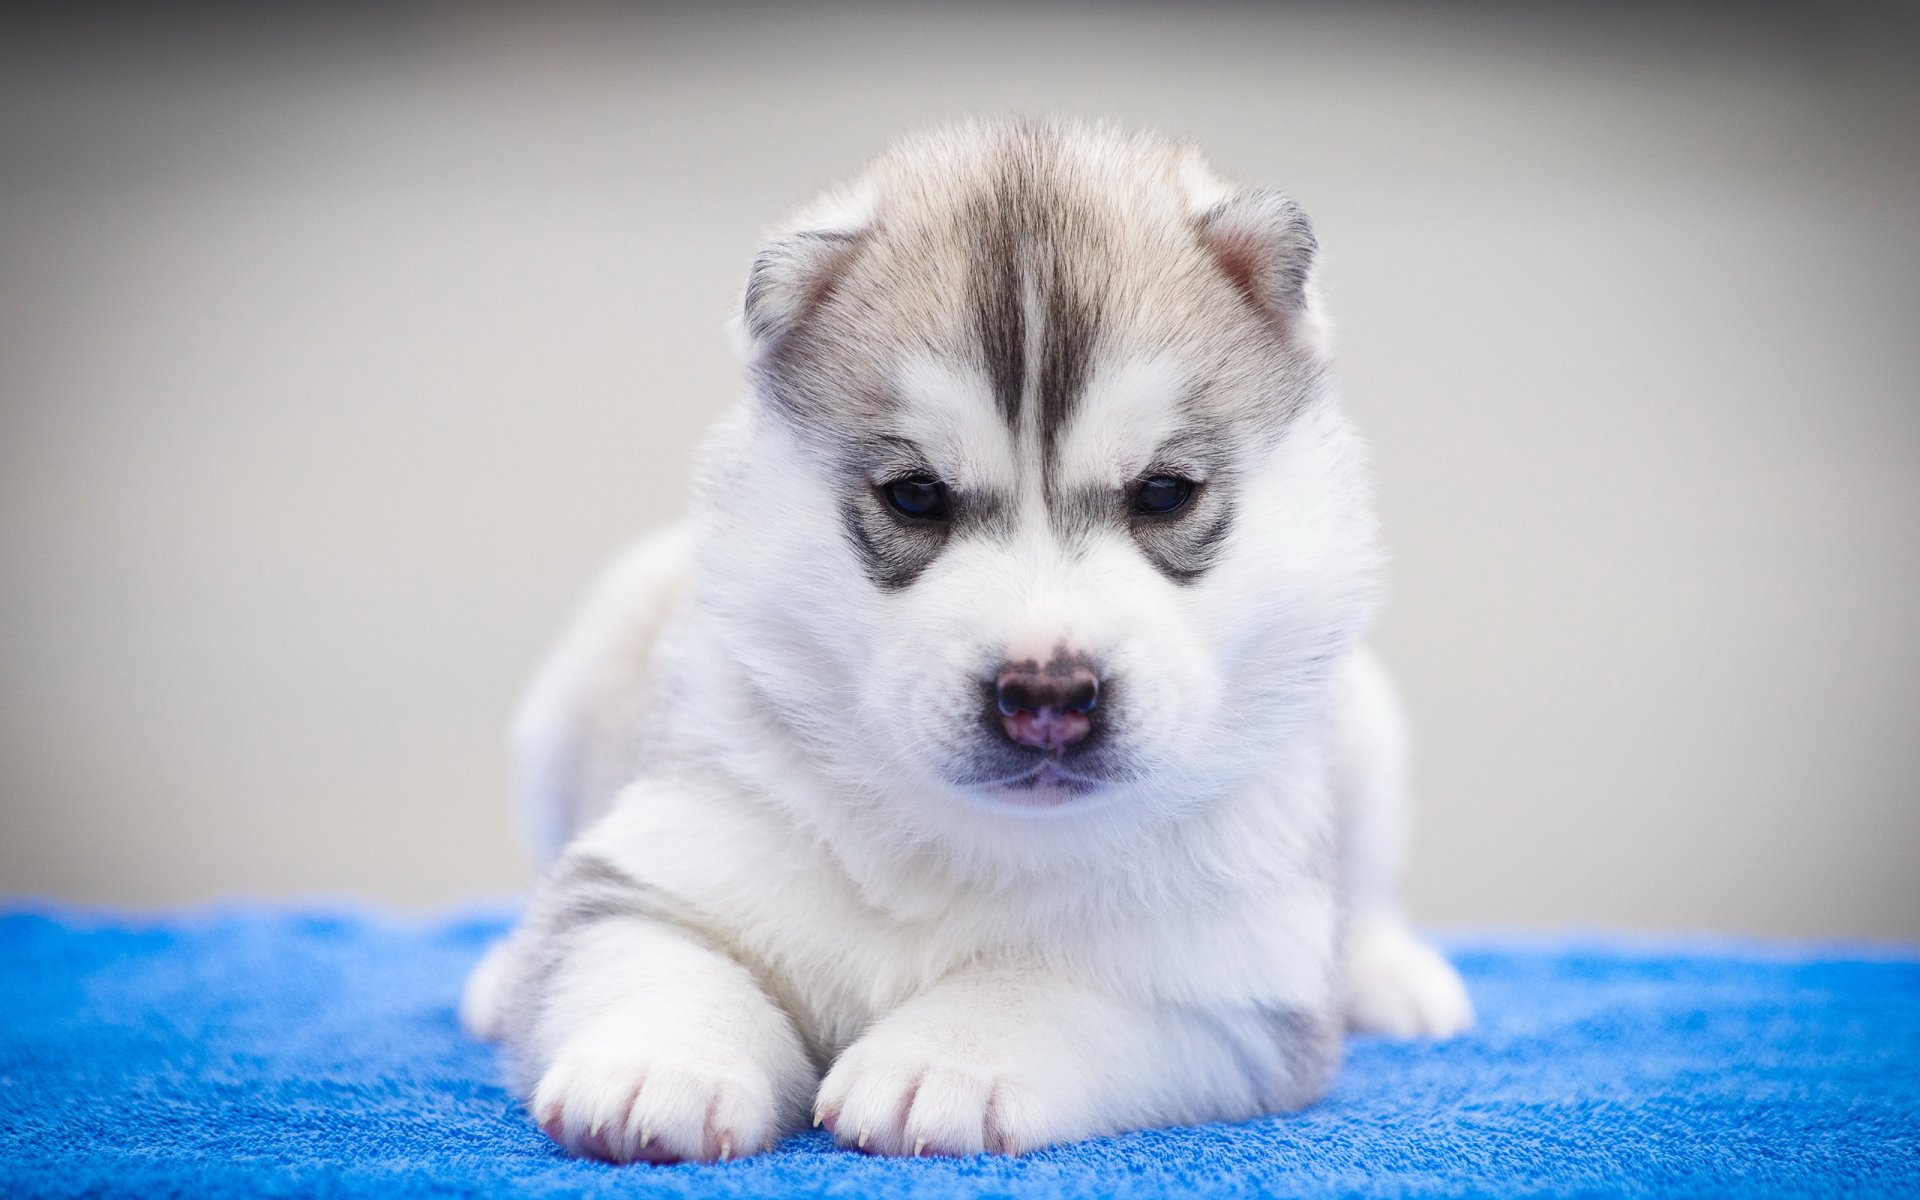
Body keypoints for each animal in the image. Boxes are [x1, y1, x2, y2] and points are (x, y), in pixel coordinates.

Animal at [460, 119, 1466, 1159]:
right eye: (914, 496)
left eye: (1163, 493)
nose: (1047, 695)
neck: (972, 843)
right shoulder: (662, 859)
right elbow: (649, 950)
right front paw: (659, 1063)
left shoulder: (1226, 983)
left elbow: (1055, 987)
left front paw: (944, 1062)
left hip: (1367, 729)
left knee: (1369, 885)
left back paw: (1393, 976)